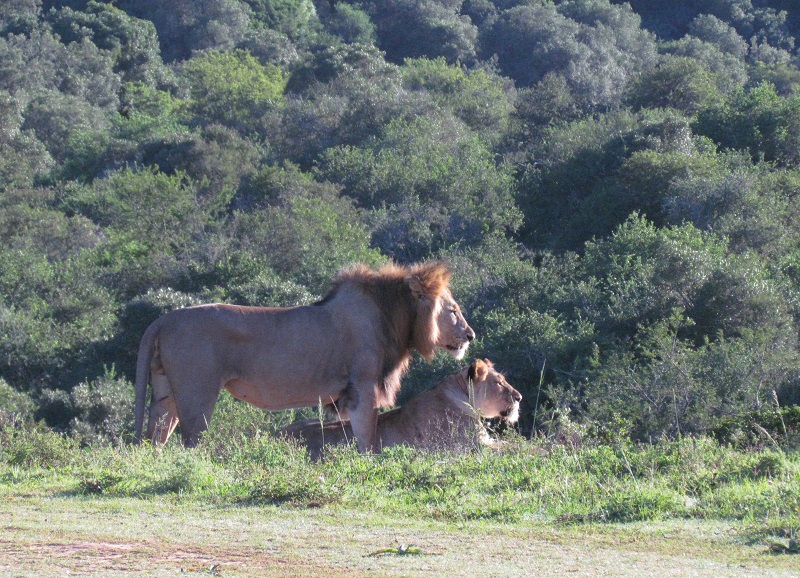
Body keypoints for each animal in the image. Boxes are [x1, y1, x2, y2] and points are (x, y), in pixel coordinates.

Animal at [134, 260, 476, 450]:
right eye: (453, 310)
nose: (471, 335)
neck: (391, 316)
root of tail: (163, 319)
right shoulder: (363, 386)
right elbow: (367, 438)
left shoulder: (344, 396)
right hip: (198, 393)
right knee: (191, 440)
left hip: (165, 391)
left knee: (156, 434)